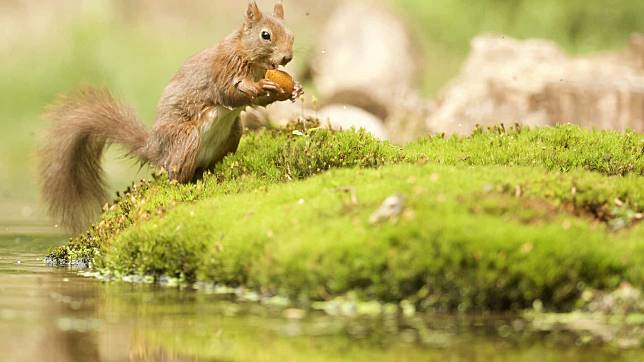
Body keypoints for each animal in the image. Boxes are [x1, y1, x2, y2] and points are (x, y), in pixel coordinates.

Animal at [38, 1, 302, 233]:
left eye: (292, 34)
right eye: (265, 35)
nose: (287, 58)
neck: (250, 58)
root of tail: (156, 148)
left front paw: (293, 89)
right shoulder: (223, 69)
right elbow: (229, 92)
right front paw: (262, 86)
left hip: (234, 132)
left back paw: (213, 174)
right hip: (186, 138)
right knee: (176, 176)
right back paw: (184, 188)